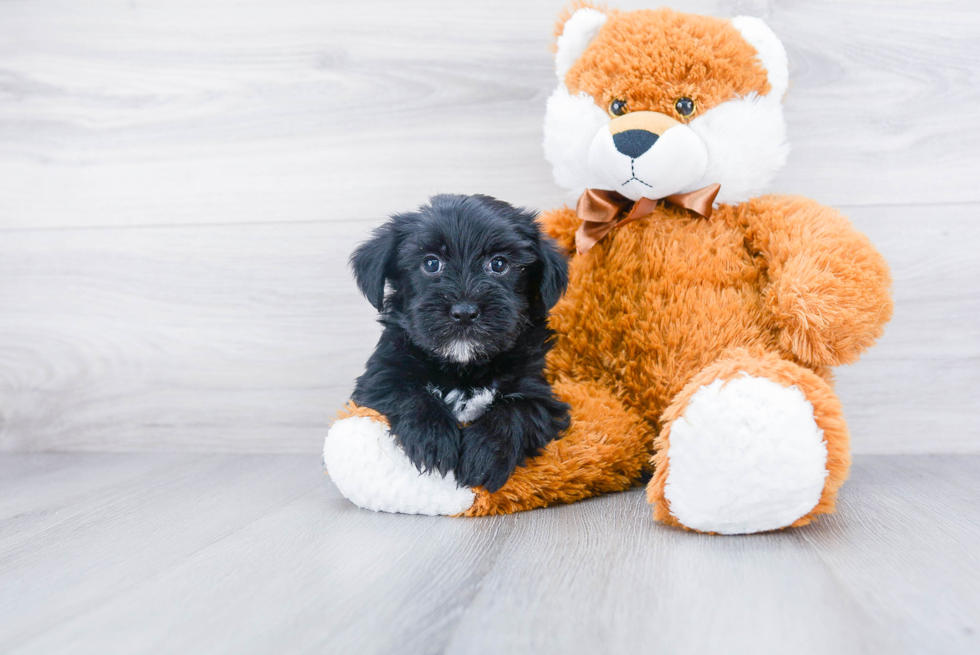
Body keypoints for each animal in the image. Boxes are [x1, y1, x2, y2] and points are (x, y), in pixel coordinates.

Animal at [350, 193, 568, 492]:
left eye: (499, 264)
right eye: (431, 264)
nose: (464, 311)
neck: (464, 366)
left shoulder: (538, 392)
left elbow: (518, 409)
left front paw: (484, 455)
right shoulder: (380, 377)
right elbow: (408, 393)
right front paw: (434, 440)